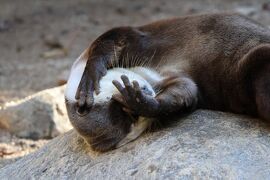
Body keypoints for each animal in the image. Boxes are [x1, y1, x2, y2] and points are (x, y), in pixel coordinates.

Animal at [65, 12, 270, 151]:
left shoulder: (132, 35)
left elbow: (108, 40)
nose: (144, 92)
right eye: (133, 116)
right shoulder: (176, 79)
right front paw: (143, 103)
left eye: (123, 108)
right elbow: (186, 91)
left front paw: (90, 77)